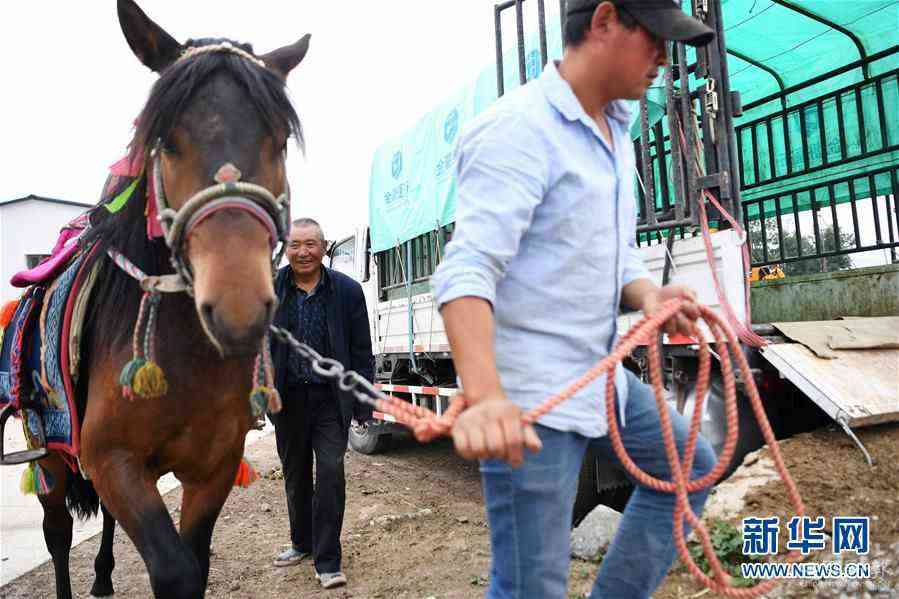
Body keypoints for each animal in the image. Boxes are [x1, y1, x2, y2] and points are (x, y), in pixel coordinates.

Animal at [32, 2, 310, 596]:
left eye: (278, 140)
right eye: (168, 142)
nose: (237, 308)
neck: (187, 356)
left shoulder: (213, 465)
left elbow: (195, 561)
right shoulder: (111, 459)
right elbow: (174, 568)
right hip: (49, 456)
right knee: (57, 532)